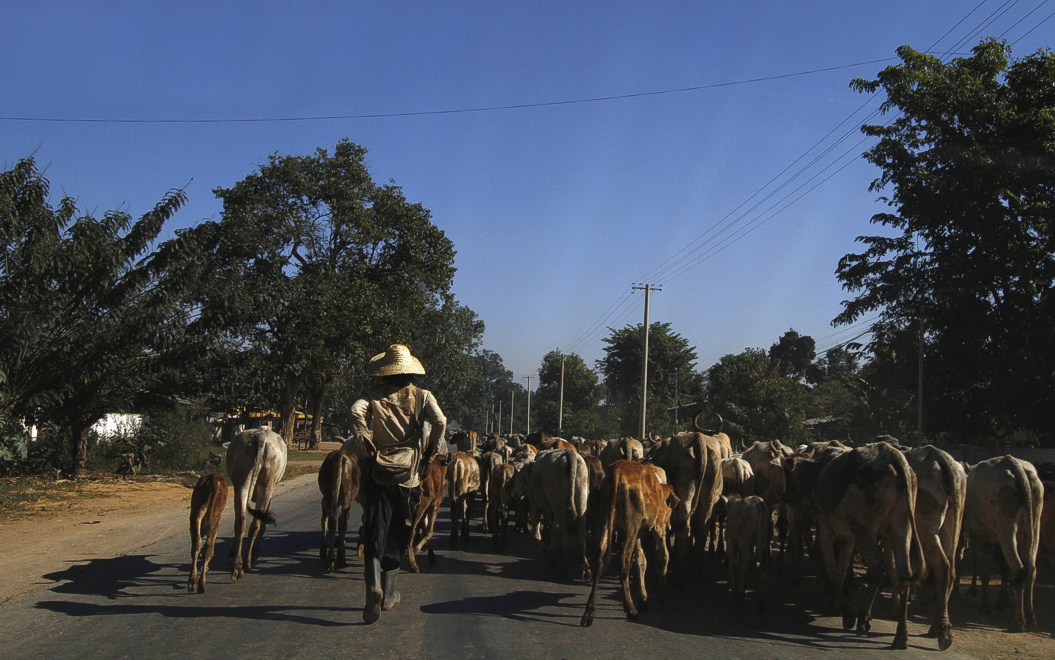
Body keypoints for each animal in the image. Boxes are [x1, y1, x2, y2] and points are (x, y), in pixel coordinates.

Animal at [582, 457, 679, 619]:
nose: (670, 524)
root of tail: (617, 470)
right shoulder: (658, 528)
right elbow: (664, 556)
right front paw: (660, 594)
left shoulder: (638, 534)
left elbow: (640, 560)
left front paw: (643, 598)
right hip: (630, 525)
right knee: (624, 561)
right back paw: (630, 608)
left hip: (605, 521)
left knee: (600, 559)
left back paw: (589, 611)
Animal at [966, 451, 1042, 628]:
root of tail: (1013, 463)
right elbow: (1002, 568)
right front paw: (1001, 601)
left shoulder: (977, 535)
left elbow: (984, 571)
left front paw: (985, 605)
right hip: (1034, 524)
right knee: (1030, 568)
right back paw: (1030, 616)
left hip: (1005, 523)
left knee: (1017, 566)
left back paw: (1019, 621)